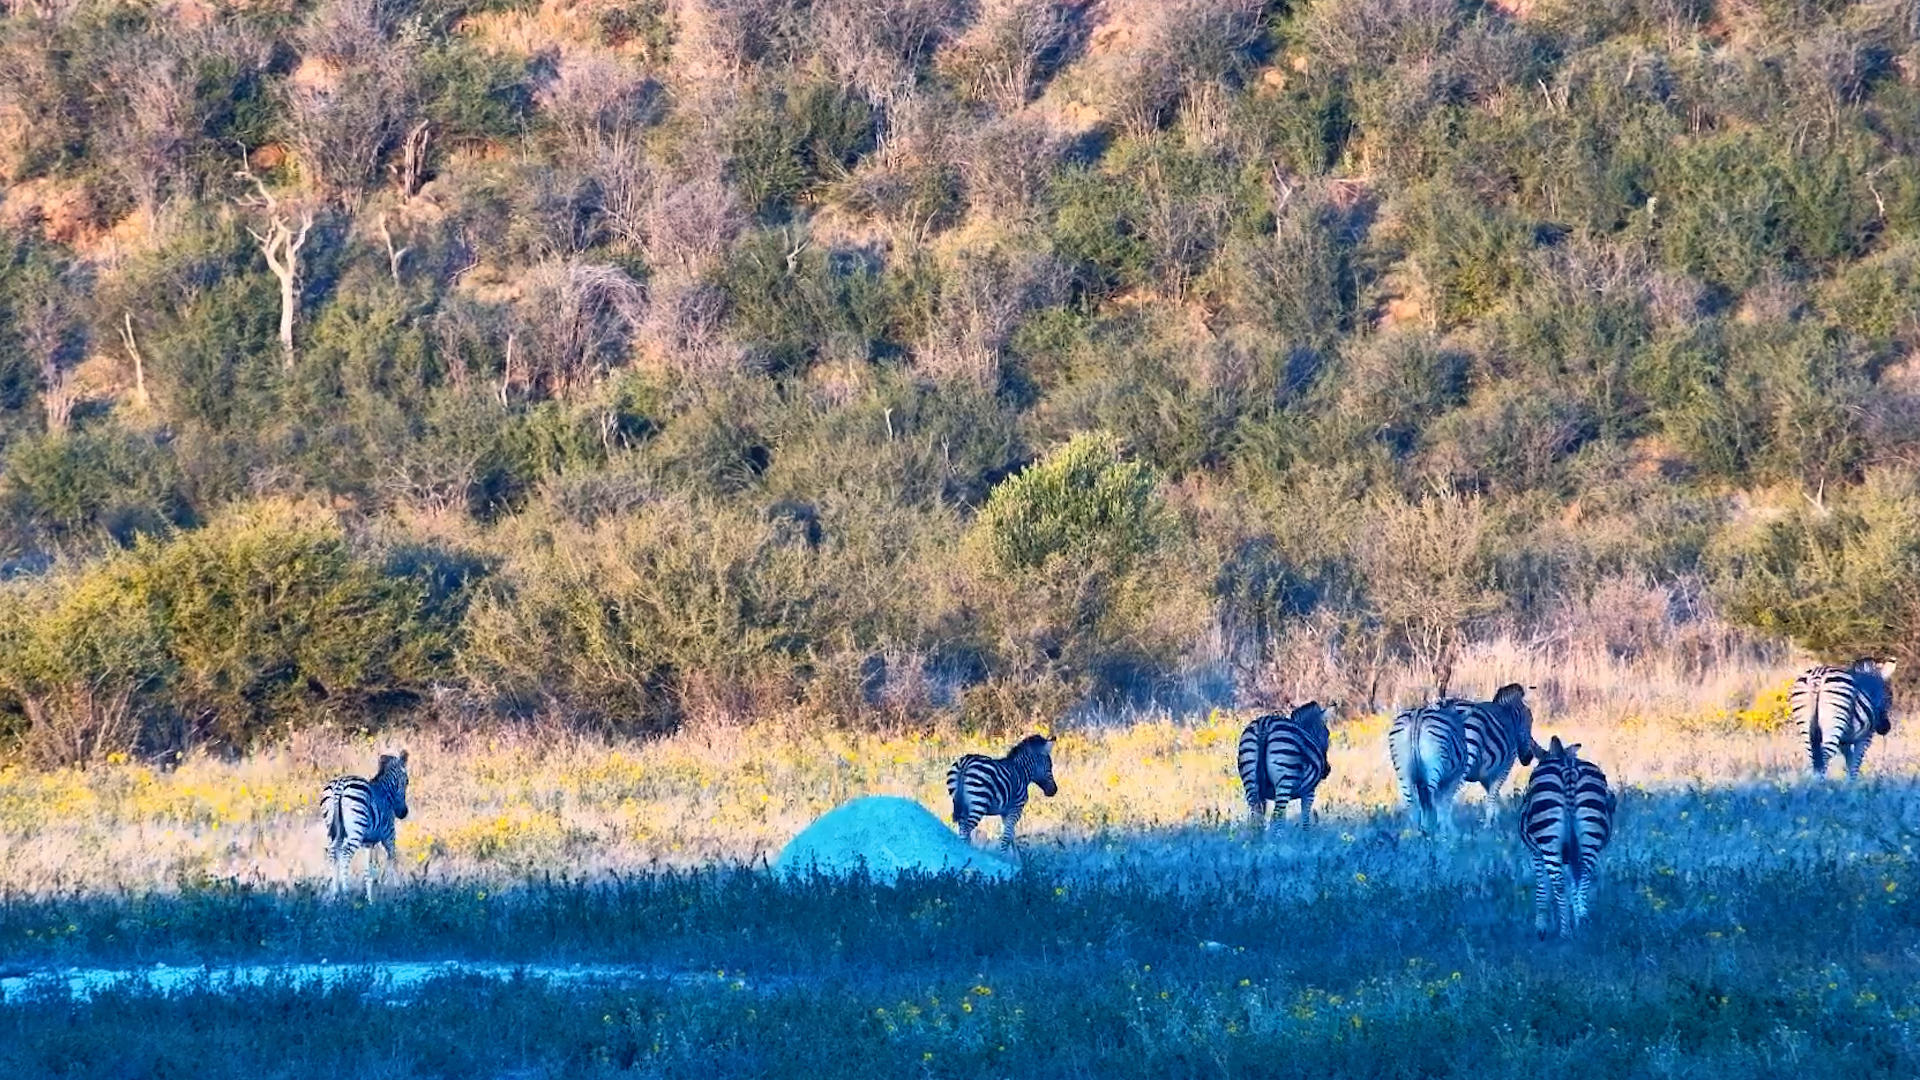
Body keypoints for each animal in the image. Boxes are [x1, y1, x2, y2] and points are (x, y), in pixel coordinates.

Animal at [321, 749, 411, 901]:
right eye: (407, 781)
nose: (403, 813)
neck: (386, 793)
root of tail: (339, 785)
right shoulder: (389, 834)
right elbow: (393, 859)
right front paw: (398, 889)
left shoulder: (368, 842)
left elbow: (369, 870)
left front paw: (370, 898)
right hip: (356, 830)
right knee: (345, 853)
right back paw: (346, 892)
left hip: (333, 830)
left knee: (333, 853)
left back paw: (335, 894)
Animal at [1237, 701, 1334, 831]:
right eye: (1328, 734)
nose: (1327, 770)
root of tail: (1264, 724)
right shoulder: (1309, 791)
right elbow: (1305, 820)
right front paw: (1306, 835)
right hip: (1285, 779)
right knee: (1277, 815)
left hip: (1250, 780)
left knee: (1256, 816)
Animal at [1388, 702, 1470, 835]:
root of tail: (1417, 716)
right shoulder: (1453, 777)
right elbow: (1445, 804)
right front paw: (1449, 832)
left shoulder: (1422, 782)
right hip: (1434, 769)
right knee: (1430, 800)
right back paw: (1432, 832)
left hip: (1404, 773)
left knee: (1414, 805)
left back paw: (1416, 835)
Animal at [1451, 684, 1539, 826]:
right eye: (1530, 721)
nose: (1529, 758)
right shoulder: (1504, 768)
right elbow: (1493, 796)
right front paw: (1488, 825)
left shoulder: (1486, 775)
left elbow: (1493, 798)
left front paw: (1494, 822)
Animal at [1519, 736, 1616, 939]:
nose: (1613, 802)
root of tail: (1568, 768)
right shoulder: (1573, 854)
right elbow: (1575, 883)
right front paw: (1578, 917)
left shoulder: (1536, 853)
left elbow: (1541, 889)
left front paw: (1541, 928)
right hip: (1590, 832)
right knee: (1585, 875)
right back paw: (1583, 923)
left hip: (1548, 839)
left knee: (1558, 883)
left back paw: (1565, 932)